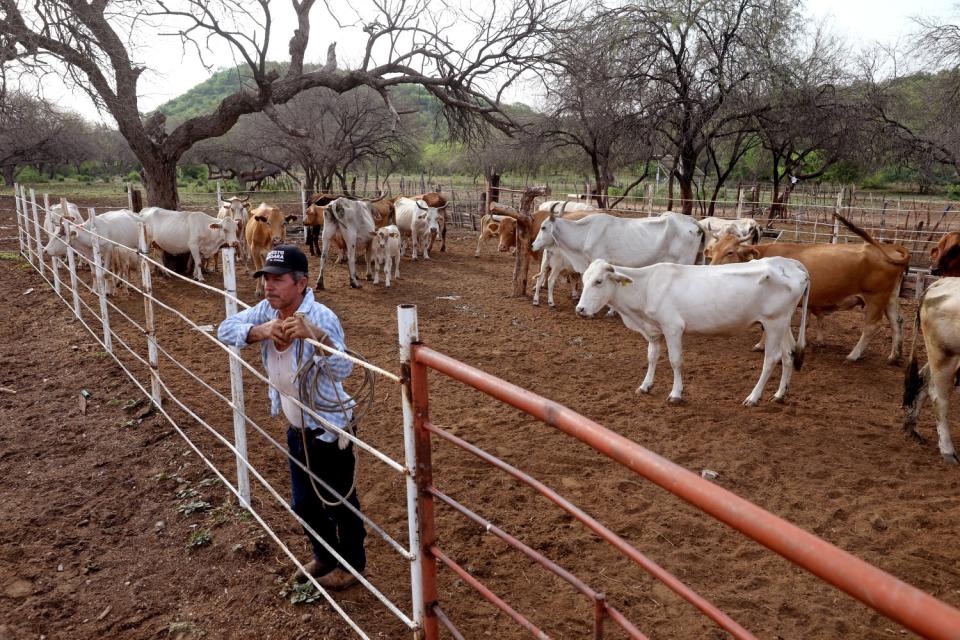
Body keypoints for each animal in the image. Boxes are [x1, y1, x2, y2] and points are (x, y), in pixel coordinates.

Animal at [532, 211, 704, 274]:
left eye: (543, 227)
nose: (532, 245)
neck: (586, 231)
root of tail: (691, 220)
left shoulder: (598, 259)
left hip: (685, 262)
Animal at [576, 255, 808, 404]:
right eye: (584, 280)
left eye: (598, 281)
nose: (580, 309)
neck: (646, 287)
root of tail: (789, 262)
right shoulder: (653, 330)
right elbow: (651, 357)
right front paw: (645, 386)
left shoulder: (673, 327)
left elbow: (675, 361)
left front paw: (676, 394)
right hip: (782, 322)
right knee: (788, 353)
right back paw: (780, 395)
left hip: (773, 322)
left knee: (771, 358)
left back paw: (753, 397)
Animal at [704, 214, 908, 362]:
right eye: (713, 252)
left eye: (730, 252)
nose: (710, 269)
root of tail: (889, 248)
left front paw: (761, 345)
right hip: (889, 298)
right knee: (896, 321)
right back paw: (894, 356)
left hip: (875, 298)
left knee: (871, 326)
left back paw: (853, 355)